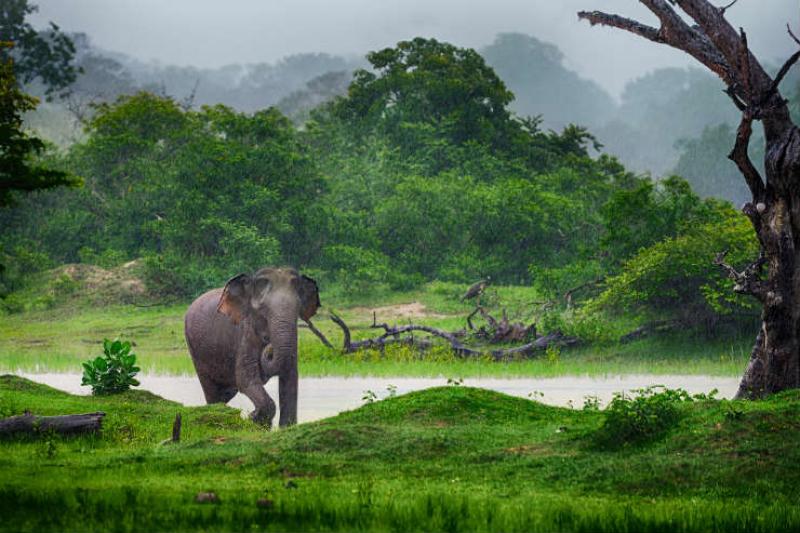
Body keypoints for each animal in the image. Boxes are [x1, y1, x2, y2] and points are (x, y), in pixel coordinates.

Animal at [184, 267, 320, 427]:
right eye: (262, 310)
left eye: (298, 309)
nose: (269, 347)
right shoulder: (245, 334)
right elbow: (245, 379)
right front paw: (253, 418)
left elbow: (290, 377)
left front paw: (283, 426)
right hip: (195, 350)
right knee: (212, 391)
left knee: (226, 393)